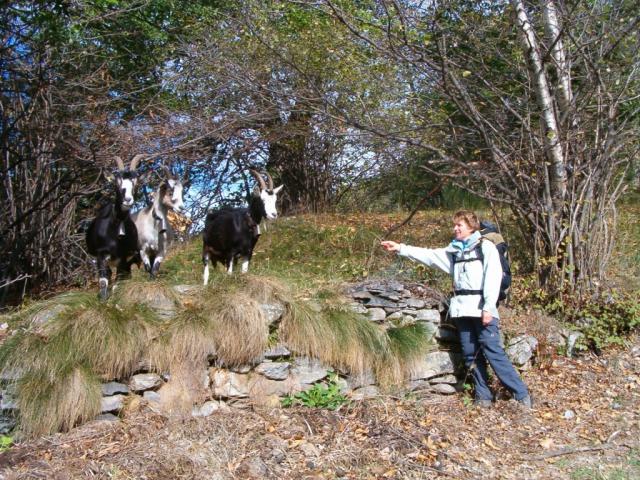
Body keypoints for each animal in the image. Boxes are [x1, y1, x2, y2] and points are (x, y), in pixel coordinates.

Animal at [85, 155, 144, 300]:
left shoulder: (123, 258)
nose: (127, 200)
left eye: (136, 183)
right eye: (116, 182)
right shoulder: (101, 254)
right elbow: (103, 281)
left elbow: (118, 282)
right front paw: (103, 300)